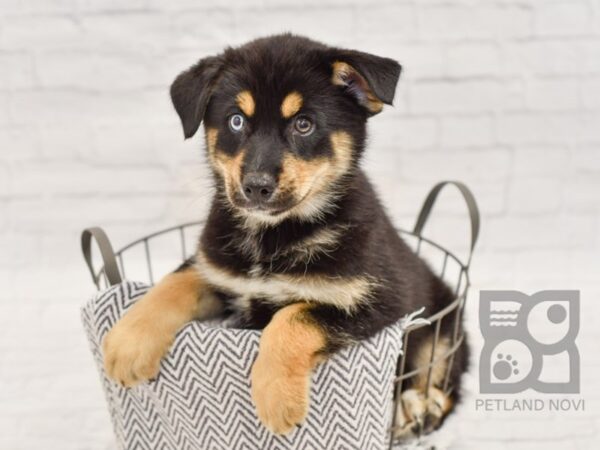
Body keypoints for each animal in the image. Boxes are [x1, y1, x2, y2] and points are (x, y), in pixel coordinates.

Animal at [102, 34, 468, 440]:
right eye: (236, 120)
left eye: (304, 124)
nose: (256, 187)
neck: (273, 236)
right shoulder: (218, 271)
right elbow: (173, 283)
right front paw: (127, 342)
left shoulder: (381, 300)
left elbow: (294, 315)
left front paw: (277, 397)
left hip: (441, 325)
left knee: (443, 381)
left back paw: (418, 408)